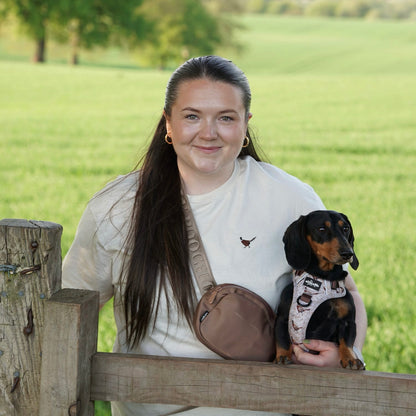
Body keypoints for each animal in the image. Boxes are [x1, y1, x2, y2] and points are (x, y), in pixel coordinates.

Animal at [275, 210, 364, 370]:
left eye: (346, 228)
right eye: (321, 229)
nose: (348, 253)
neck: (322, 278)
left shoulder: (347, 322)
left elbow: (347, 341)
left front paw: (350, 358)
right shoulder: (283, 318)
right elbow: (282, 339)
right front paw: (282, 357)